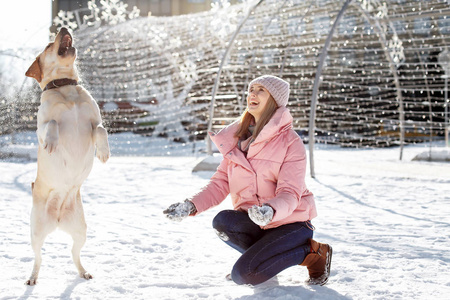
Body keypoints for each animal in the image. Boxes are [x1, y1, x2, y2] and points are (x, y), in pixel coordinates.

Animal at [24, 27, 110, 284]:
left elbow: (101, 130)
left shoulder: (95, 122)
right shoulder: (40, 127)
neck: (66, 88)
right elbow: (51, 123)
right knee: (38, 258)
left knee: (74, 254)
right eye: (47, 45)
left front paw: (104, 152)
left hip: (81, 230)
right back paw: (32, 277)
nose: (63, 28)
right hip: (36, 232)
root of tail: (58, 217)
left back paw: (84, 272)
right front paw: (52, 143)